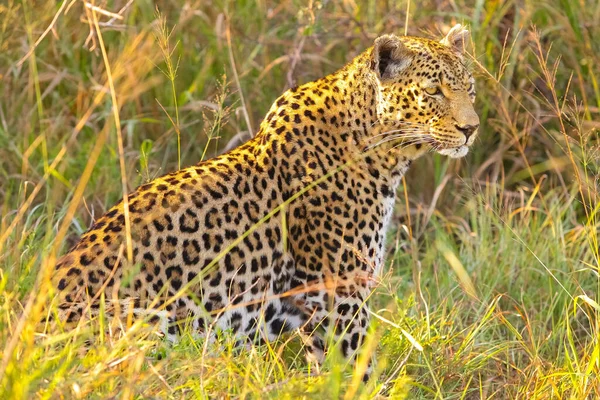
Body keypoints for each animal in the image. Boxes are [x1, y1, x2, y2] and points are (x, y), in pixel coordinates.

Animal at [49, 23, 480, 380]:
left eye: (470, 88)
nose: (471, 128)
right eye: (433, 91)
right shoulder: (338, 295)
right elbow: (358, 370)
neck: (381, 149)